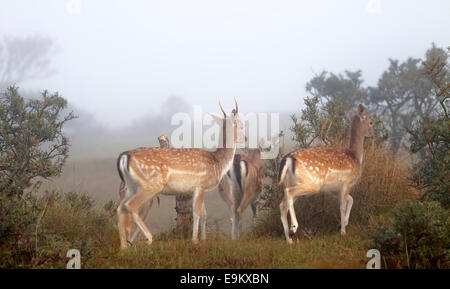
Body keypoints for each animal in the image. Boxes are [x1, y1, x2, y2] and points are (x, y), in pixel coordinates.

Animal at [115, 99, 243, 248]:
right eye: (241, 124)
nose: (245, 138)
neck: (218, 163)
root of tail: (124, 156)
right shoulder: (201, 185)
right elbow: (197, 213)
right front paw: (195, 240)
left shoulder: (197, 189)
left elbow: (204, 214)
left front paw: (203, 239)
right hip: (150, 185)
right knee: (130, 206)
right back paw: (148, 238)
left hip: (131, 186)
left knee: (120, 208)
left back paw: (124, 247)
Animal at [278, 104, 376, 243]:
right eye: (371, 122)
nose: (374, 134)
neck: (355, 156)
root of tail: (287, 159)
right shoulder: (347, 181)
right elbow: (343, 205)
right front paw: (343, 232)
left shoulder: (333, 189)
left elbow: (350, 200)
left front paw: (342, 224)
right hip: (312, 183)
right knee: (288, 194)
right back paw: (293, 228)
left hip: (292, 182)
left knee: (283, 204)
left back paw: (289, 239)